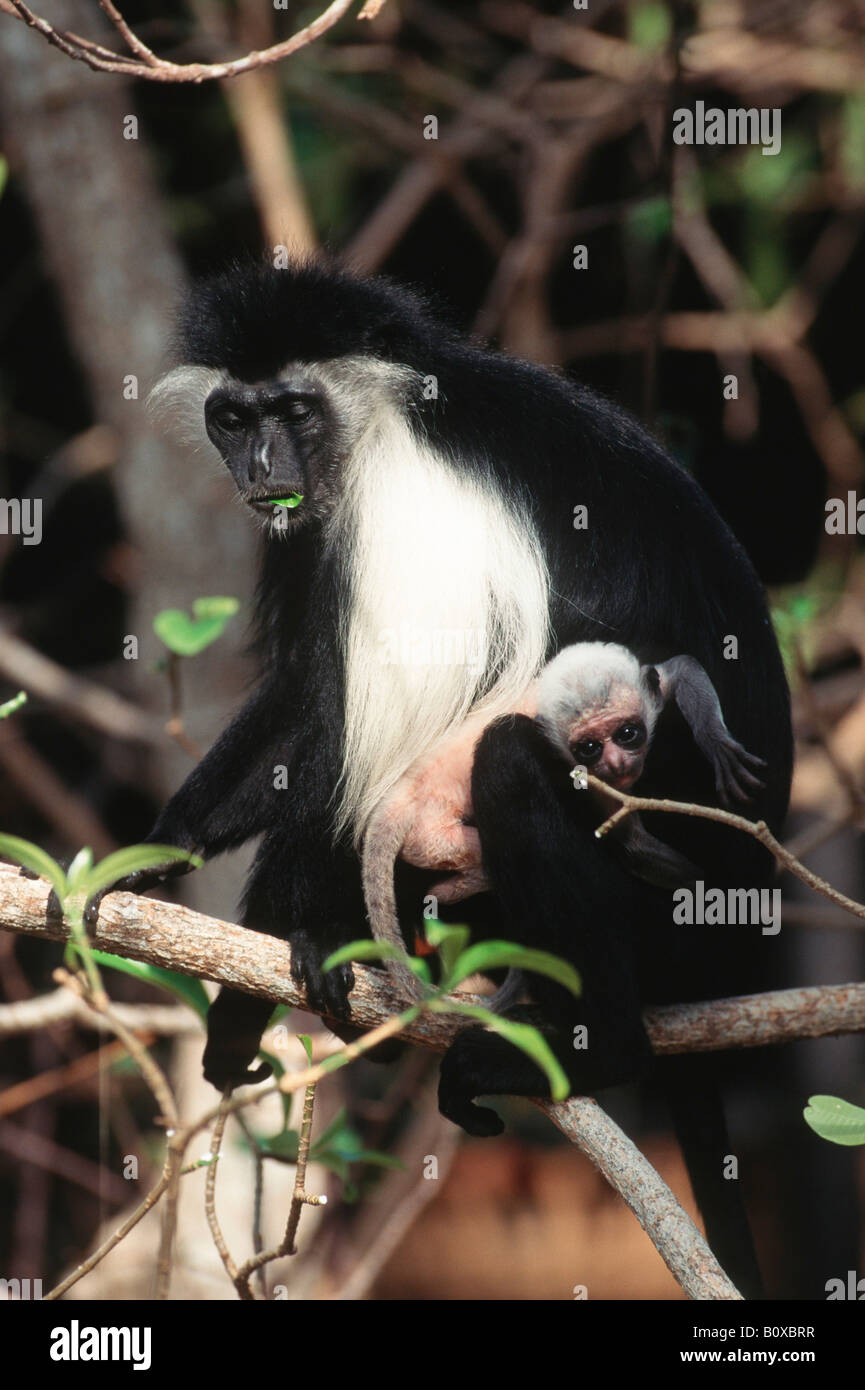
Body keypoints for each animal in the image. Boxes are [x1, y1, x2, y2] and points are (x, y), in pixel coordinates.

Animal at [94, 258, 795, 1289]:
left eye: (292, 411)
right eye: (233, 416)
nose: (260, 467)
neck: (385, 416)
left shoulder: (402, 518)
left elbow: (349, 747)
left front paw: (286, 962)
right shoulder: (315, 532)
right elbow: (306, 695)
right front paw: (159, 859)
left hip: (665, 857)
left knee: (508, 761)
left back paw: (590, 1047)